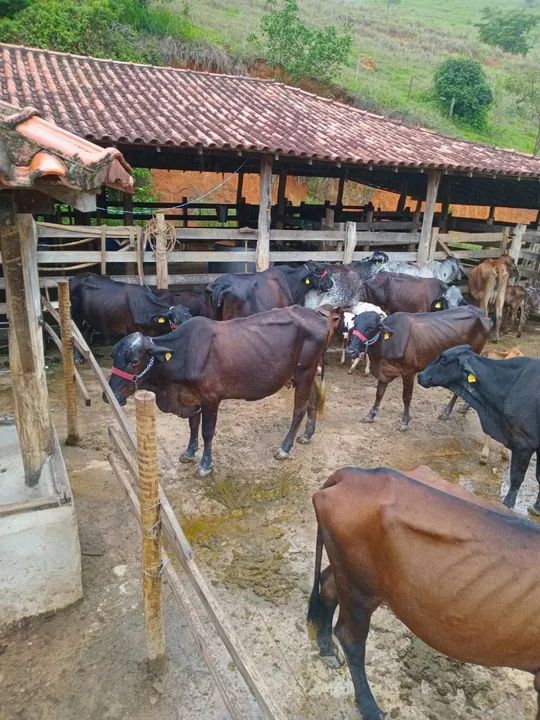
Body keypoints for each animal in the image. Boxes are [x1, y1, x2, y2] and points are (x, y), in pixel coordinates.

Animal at [106, 306, 332, 477]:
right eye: (113, 356)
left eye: (134, 360)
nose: (109, 395)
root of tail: (318, 316)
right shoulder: (192, 397)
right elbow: (192, 425)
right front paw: (189, 452)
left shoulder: (210, 398)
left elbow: (207, 431)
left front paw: (205, 465)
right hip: (307, 374)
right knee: (312, 402)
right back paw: (307, 435)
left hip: (304, 372)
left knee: (299, 410)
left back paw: (284, 448)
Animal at [307, 465, 540, 720]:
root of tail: (353, 473)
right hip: (360, 586)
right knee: (350, 638)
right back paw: (370, 707)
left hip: (350, 572)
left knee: (327, 587)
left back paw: (327, 648)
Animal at [345, 306, 491, 430]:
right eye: (355, 325)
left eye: (371, 327)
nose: (351, 351)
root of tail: (480, 312)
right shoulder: (385, 371)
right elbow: (379, 393)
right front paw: (371, 415)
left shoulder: (409, 372)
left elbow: (406, 397)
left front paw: (404, 421)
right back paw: (465, 407)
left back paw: (446, 412)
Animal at [418, 345, 540, 513]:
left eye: (443, 359)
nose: (420, 375)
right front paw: (537, 507)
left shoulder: (524, 444)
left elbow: (517, 477)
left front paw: (507, 505)